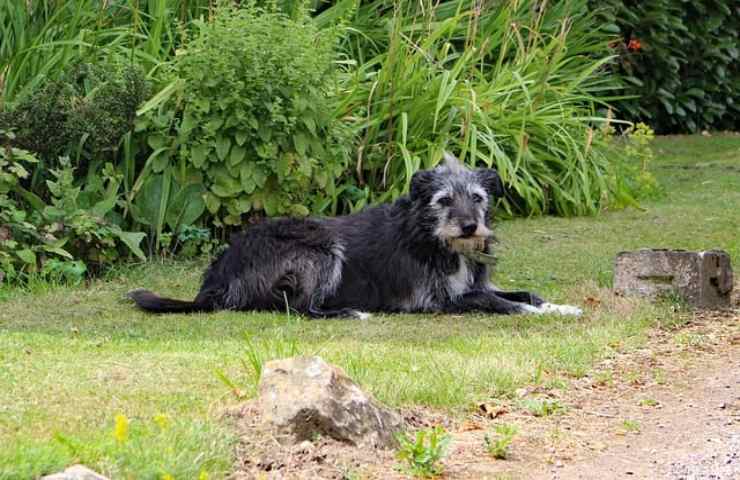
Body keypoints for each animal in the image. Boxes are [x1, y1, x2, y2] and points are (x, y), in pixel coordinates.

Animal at [129, 154, 584, 318]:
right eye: (442, 200)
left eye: (477, 197)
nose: (469, 227)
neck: (435, 240)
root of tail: (217, 278)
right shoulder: (433, 301)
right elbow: (501, 303)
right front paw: (544, 314)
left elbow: (524, 294)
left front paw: (559, 306)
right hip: (321, 249)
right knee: (299, 309)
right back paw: (348, 312)